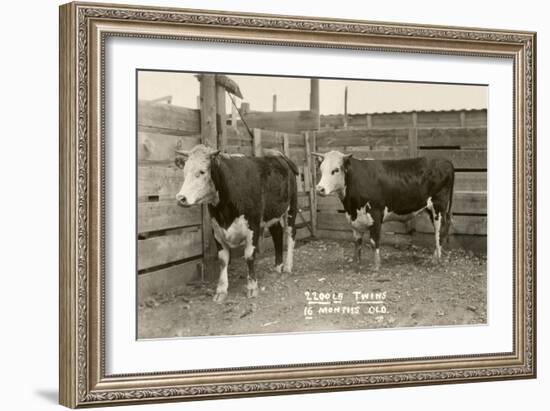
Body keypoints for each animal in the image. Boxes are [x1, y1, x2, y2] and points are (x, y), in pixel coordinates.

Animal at [176, 145, 298, 302]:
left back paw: (288, 267)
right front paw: (221, 290)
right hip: (272, 213)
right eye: (184, 171)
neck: (224, 210)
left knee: (290, 234)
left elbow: (249, 255)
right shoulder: (217, 230)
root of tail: (278, 156)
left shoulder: (253, 225)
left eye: (202, 171)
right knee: (277, 234)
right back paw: (278, 267)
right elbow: (223, 260)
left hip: (291, 207)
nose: (181, 198)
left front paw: (252, 287)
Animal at [314, 151, 458, 274]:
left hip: (439, 207)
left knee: (440, 231)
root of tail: (445, 160)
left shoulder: (376, 215)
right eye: (321, 169)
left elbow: (374, 241)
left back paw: (437, 260)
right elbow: (357, 243)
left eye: (336, 170)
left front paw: (376, 266)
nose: (319, 189)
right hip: (432, 209)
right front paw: (356, 264)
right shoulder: (354, 220)